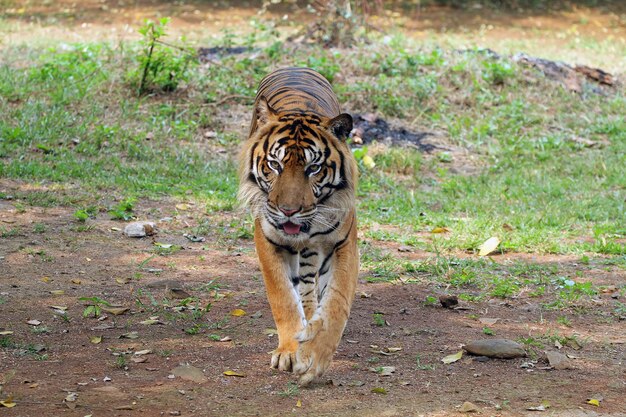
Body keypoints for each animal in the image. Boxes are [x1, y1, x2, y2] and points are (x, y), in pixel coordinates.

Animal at [238, 67, 358, 384]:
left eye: (313, 168)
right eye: (274, 165)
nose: (288, 211)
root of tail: (295, 67)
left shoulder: (343, 244)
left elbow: (336, 302)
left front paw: (314, 356)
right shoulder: (268, 239)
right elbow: (283, 298)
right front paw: (290, 352)